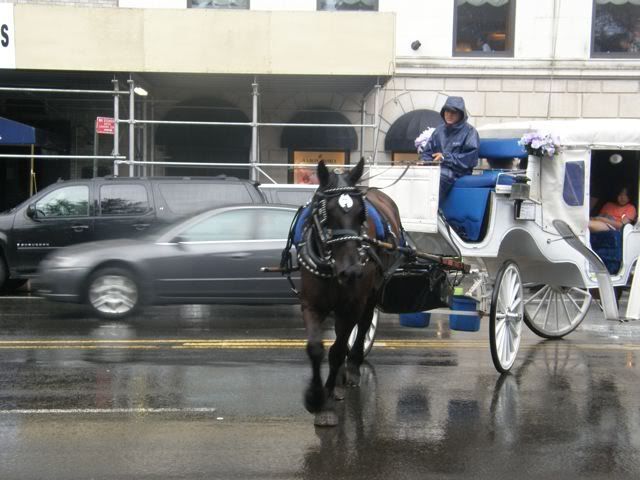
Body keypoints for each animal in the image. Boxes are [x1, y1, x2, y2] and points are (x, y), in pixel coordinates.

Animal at [292, 158, 402, 428]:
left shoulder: (353, 304)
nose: (351, 271)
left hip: (372, 293)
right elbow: (316, 348)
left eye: (361, 215)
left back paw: (351, 368)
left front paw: (327, 400)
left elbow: (337, 349)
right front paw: (315, 398)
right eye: (325, 213)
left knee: (362, 327)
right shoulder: (311, 304)